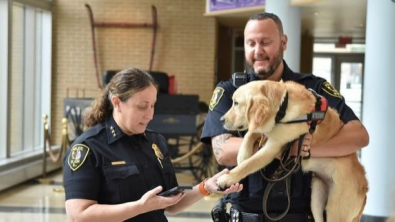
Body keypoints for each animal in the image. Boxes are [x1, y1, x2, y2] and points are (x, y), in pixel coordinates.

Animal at [217, 80, 368, 222]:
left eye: (236, 103)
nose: (221, 120)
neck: (282, 107)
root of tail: (365, 188)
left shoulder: (273, 146)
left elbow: (249, 164)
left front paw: (228, 177)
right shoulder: (266, 128)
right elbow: (251, 133)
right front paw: (243, 154)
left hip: (335, 209)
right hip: (316, 198)